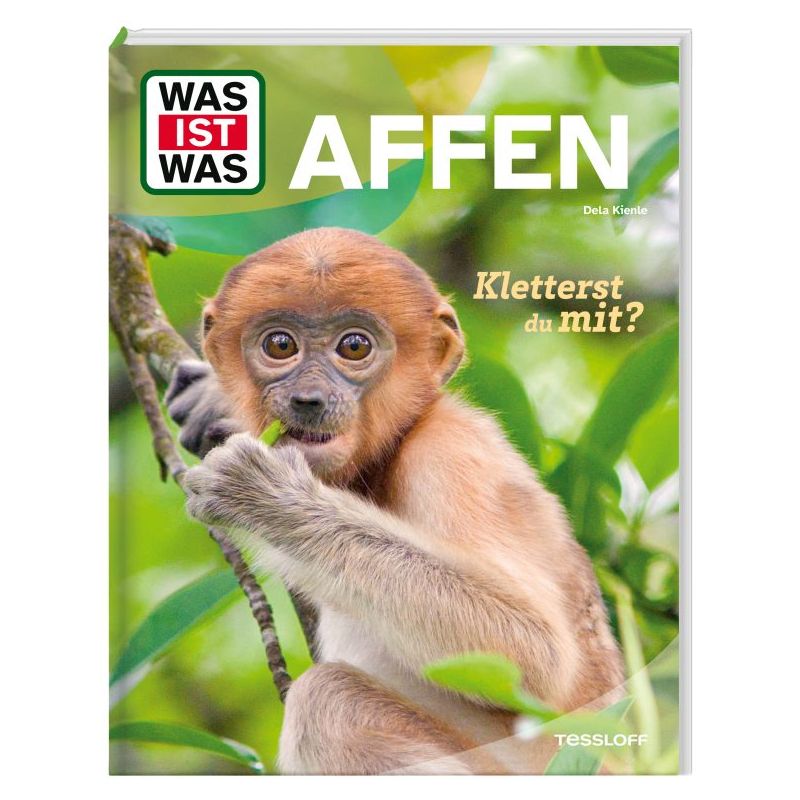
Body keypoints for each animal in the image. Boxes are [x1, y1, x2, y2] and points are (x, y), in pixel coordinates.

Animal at [166, 227, 624, 775]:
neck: (385, 457)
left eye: (354, 346)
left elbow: (534, 653)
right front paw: (209, 400)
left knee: (327, 702)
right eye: (279, 344)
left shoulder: (452, 452)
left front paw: (263, 494)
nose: (308, 400)